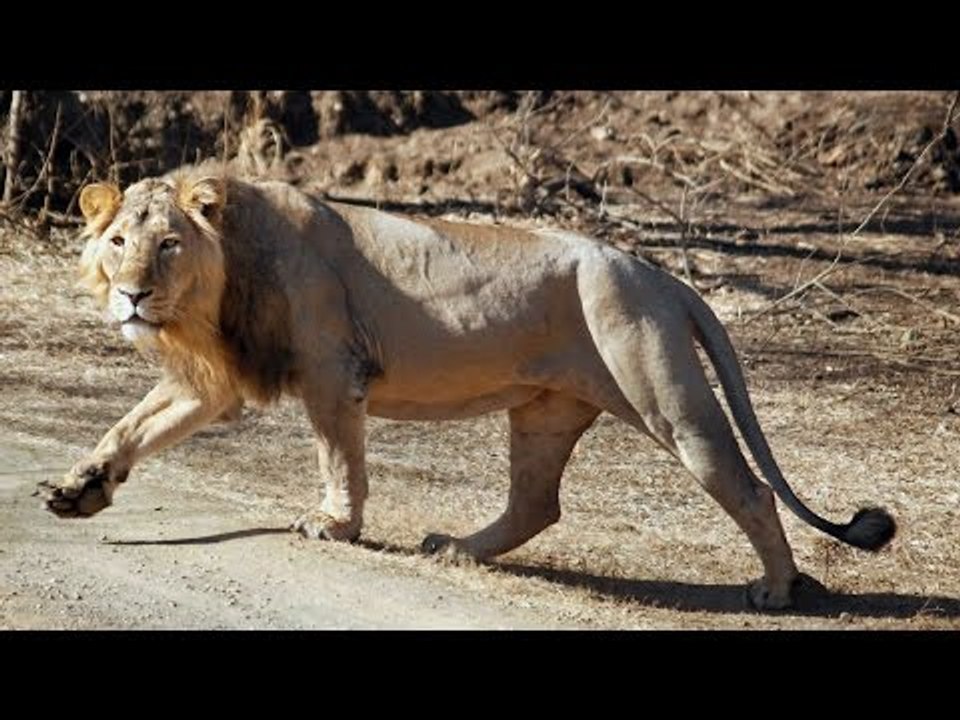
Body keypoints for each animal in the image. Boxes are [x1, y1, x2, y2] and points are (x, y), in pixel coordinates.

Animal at [39, 163, 896, 610]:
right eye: (116, 241)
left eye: (168, 244)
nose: (132, 296)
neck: (215, 292)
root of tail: (659, 273)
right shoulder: (217, 380)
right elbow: (132, 426)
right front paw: (79, 490)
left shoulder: (332, 371)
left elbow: (337, 457)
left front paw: (335, 525)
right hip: (546, 413)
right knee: (537, 504)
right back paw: (454, 548)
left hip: (667, 397)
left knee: (750, 489)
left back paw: (777, 589)